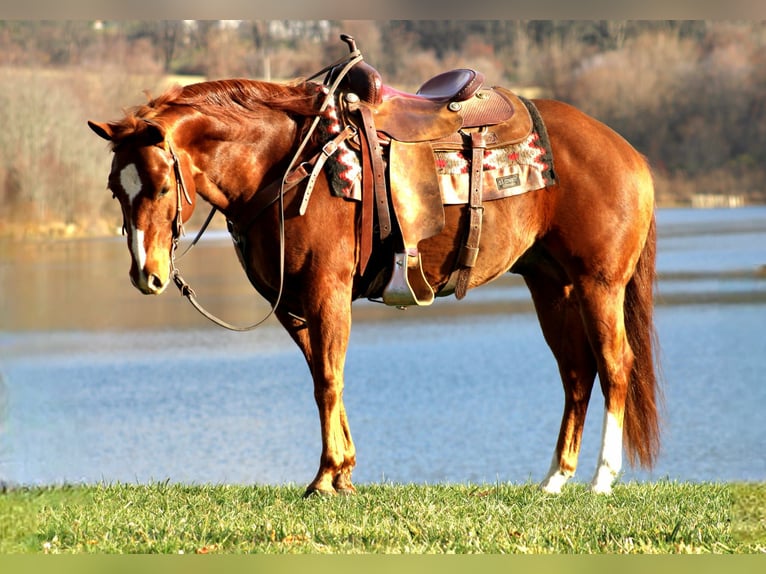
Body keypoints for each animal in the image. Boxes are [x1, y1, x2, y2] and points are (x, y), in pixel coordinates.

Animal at [88, 51, 659, 497]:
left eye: (162, 186)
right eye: (116, 189)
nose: (146, 274)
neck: (284, 163)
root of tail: (630, 154)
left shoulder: (327, 290)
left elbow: (328, 380)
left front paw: (326, 477)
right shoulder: (292, 304)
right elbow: (323, 376)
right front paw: (342, 472)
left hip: (598, 285)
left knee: (615, 366)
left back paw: (602, 478)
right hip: (551, 286)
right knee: (576, 374)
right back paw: (555, 479)